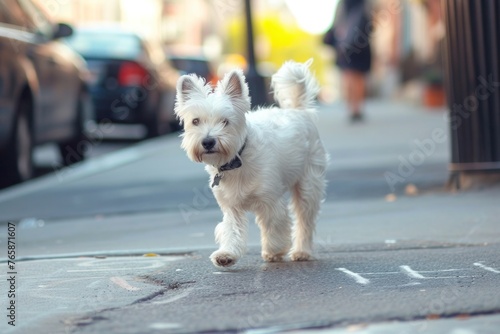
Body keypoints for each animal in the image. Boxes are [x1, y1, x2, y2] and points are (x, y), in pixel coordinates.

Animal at [176, 60, 328, 268]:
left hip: (308, 185)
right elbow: (231, 229)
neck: (237, 160)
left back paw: (301, 251)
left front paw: (274, 250)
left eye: (225, 121)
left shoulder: (270, 201)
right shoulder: (231, 207)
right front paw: (226, 254)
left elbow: (274, 226)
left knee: (305, 220)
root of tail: (298, 111)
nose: (207, 142)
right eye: (196, 121)